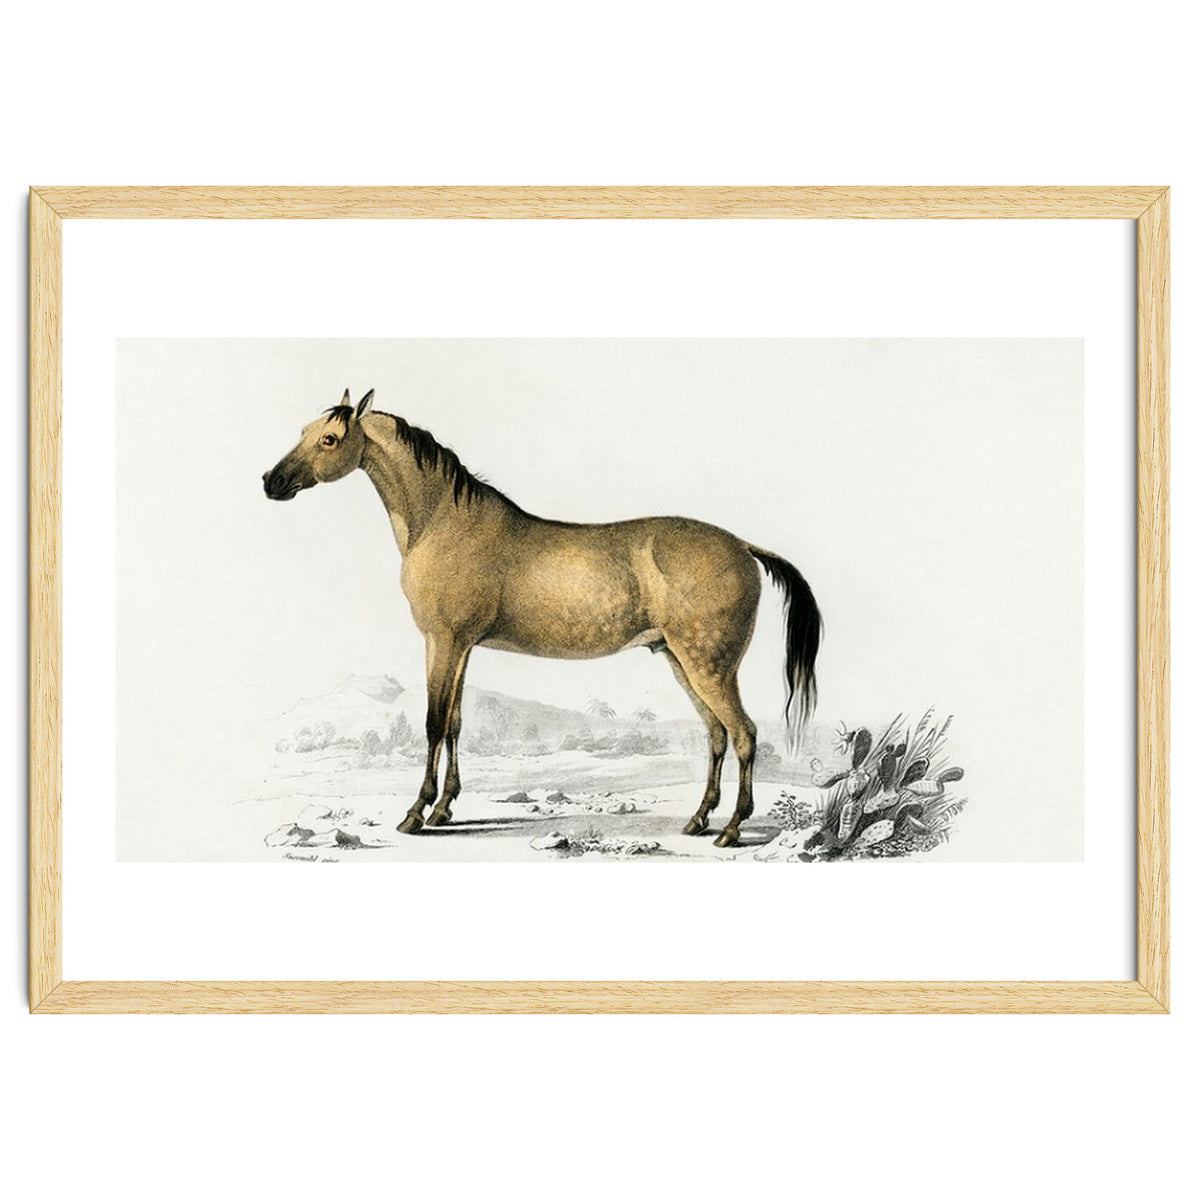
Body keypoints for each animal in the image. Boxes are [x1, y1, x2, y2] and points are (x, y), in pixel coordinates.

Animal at [263, 389, 821, 848]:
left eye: (330, 438)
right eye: (304, 431)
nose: (272, 482)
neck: (443, 521)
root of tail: (742, 546)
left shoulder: (442, 641)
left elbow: (433, 723)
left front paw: (416, 813)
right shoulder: (460, 647)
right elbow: (456, 724)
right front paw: (445, 809)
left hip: (709, 665)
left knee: (744, 733)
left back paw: (731, 829)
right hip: (682, 662)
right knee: (717, 735)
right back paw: (699, 820)